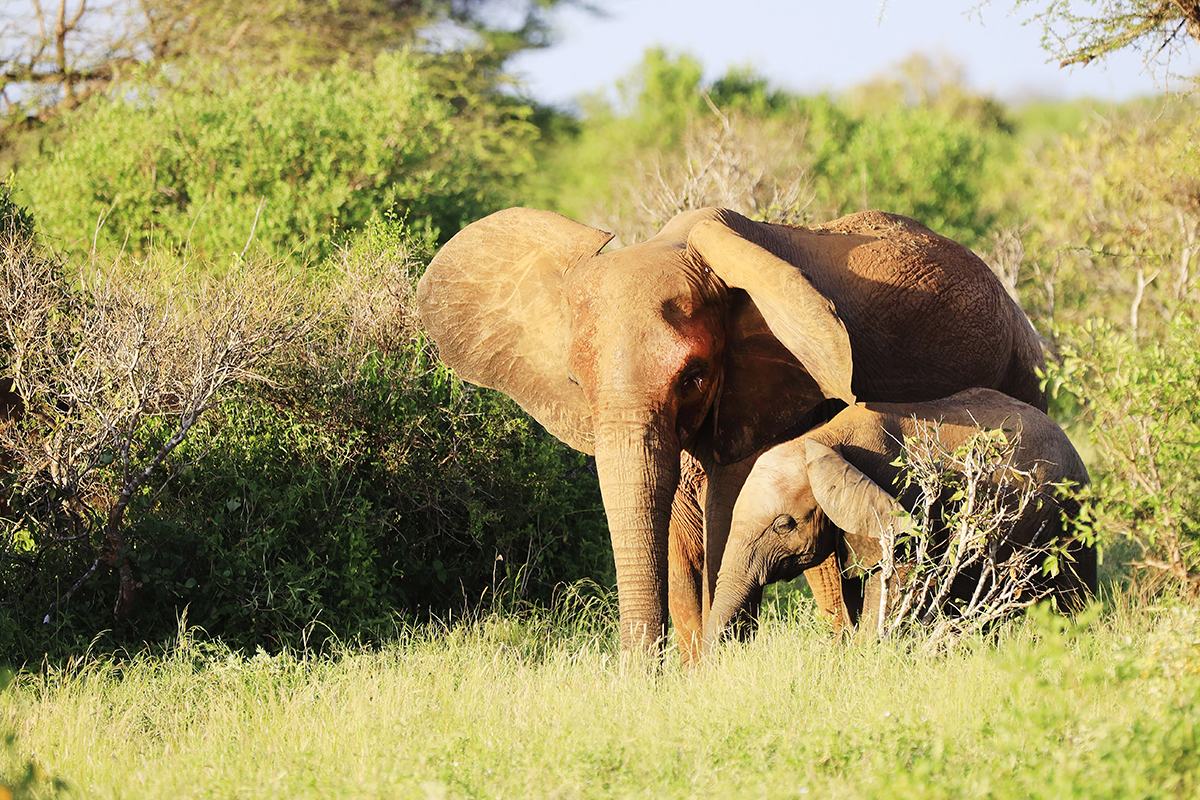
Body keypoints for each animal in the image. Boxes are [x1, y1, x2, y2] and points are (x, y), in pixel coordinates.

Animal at [700, 388, 1099, 657]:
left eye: (783, 525)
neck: (822, 439)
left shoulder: (904, 493)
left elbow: (895, 579)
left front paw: (865, 655)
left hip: (1071, 512)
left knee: (1073, 591)